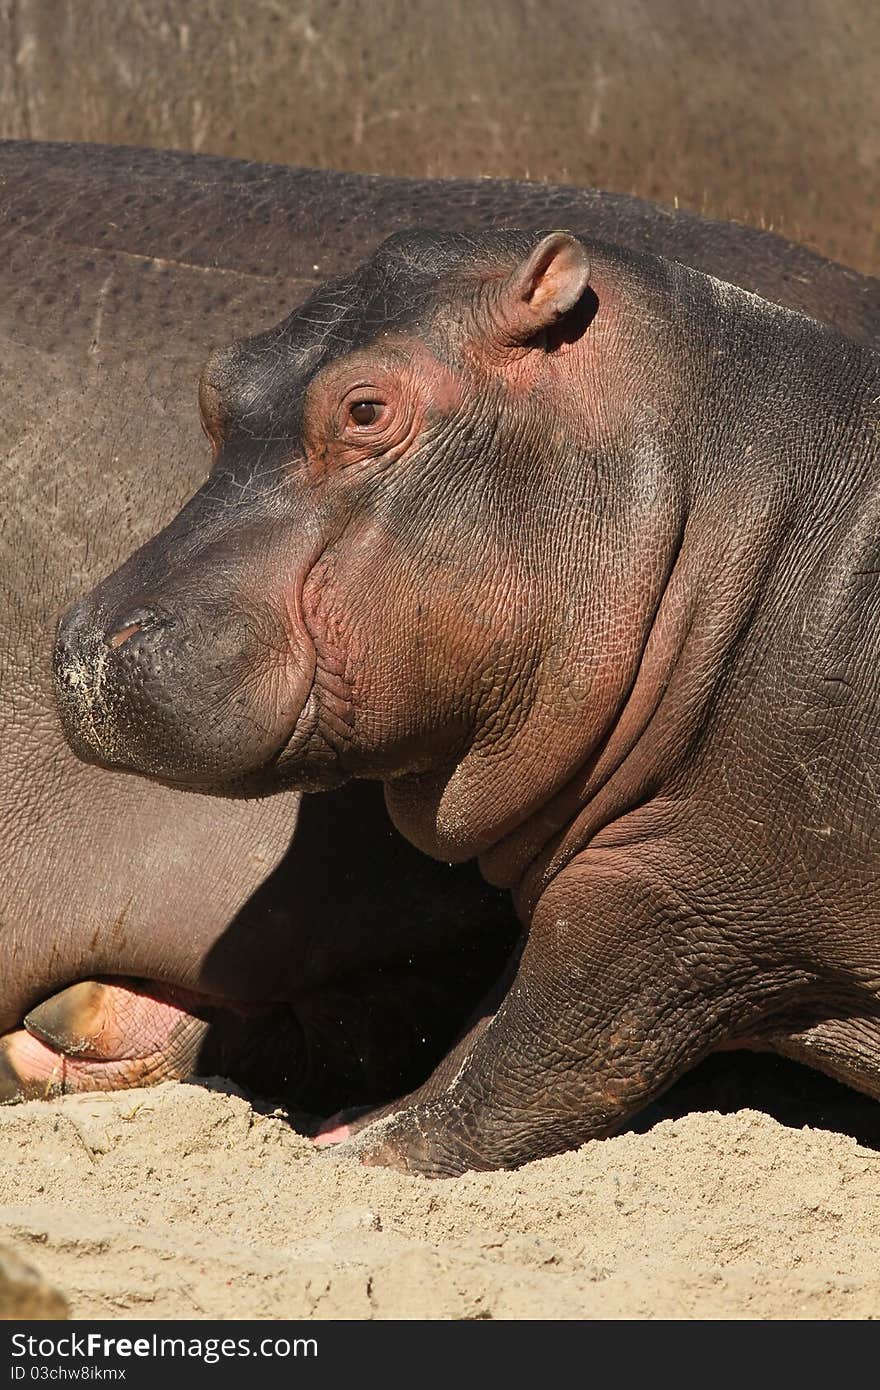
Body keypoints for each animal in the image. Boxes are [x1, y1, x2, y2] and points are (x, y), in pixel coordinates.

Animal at [53, 227, 878, 1173]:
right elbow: (465, 1049)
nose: (86, 644)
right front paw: (340, 1126)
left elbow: (516, 1078)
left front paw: (341, 1155)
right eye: (217, 382)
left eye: (365, 410)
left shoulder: (673, 898)